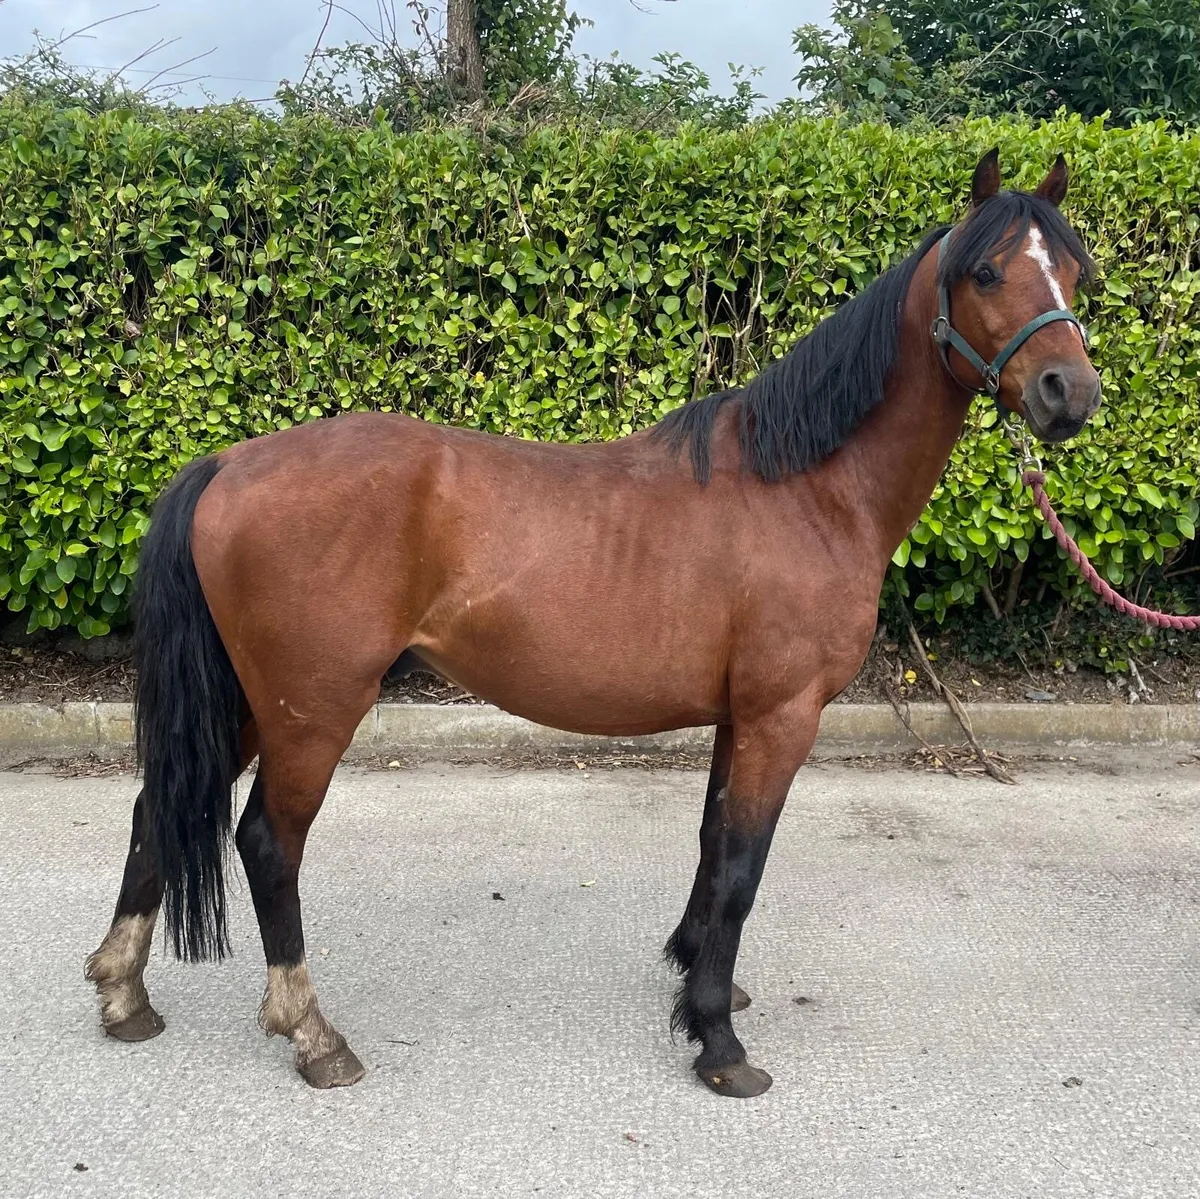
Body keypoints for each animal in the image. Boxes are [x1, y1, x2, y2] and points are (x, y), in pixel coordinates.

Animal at [86, 150, 1100, 1098]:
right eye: (986, 273)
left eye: (1074, 274)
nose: (1069, 392)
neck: (805, 488)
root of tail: (229, 463)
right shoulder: (782, 716)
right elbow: (744, 867)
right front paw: (719, 1043)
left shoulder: (738, 716)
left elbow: (712, 846)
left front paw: (698, 981)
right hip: (314, 709)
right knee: (267, 843)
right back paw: (312, 1032)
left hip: (256, 702)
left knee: (156, 809)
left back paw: (125, 992)